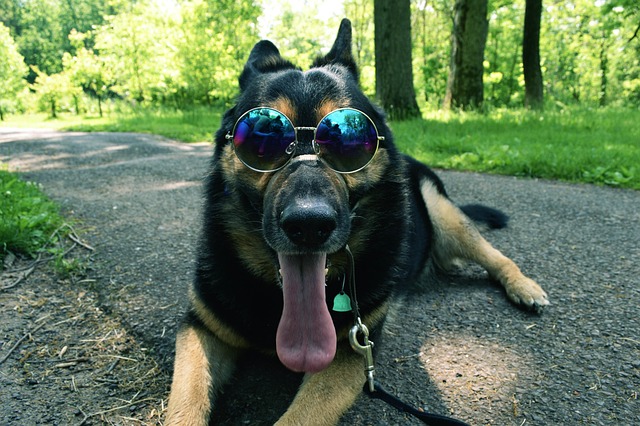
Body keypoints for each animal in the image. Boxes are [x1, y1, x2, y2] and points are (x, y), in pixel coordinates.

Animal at [166, 18, 552, 424]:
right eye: (260, 140)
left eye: (350, 141)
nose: (309, 225)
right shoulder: (201, 329)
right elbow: (185, 403)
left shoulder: (352, 349)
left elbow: (298, 417)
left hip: (444, 215)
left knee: (493, 254)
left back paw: (523, 286)